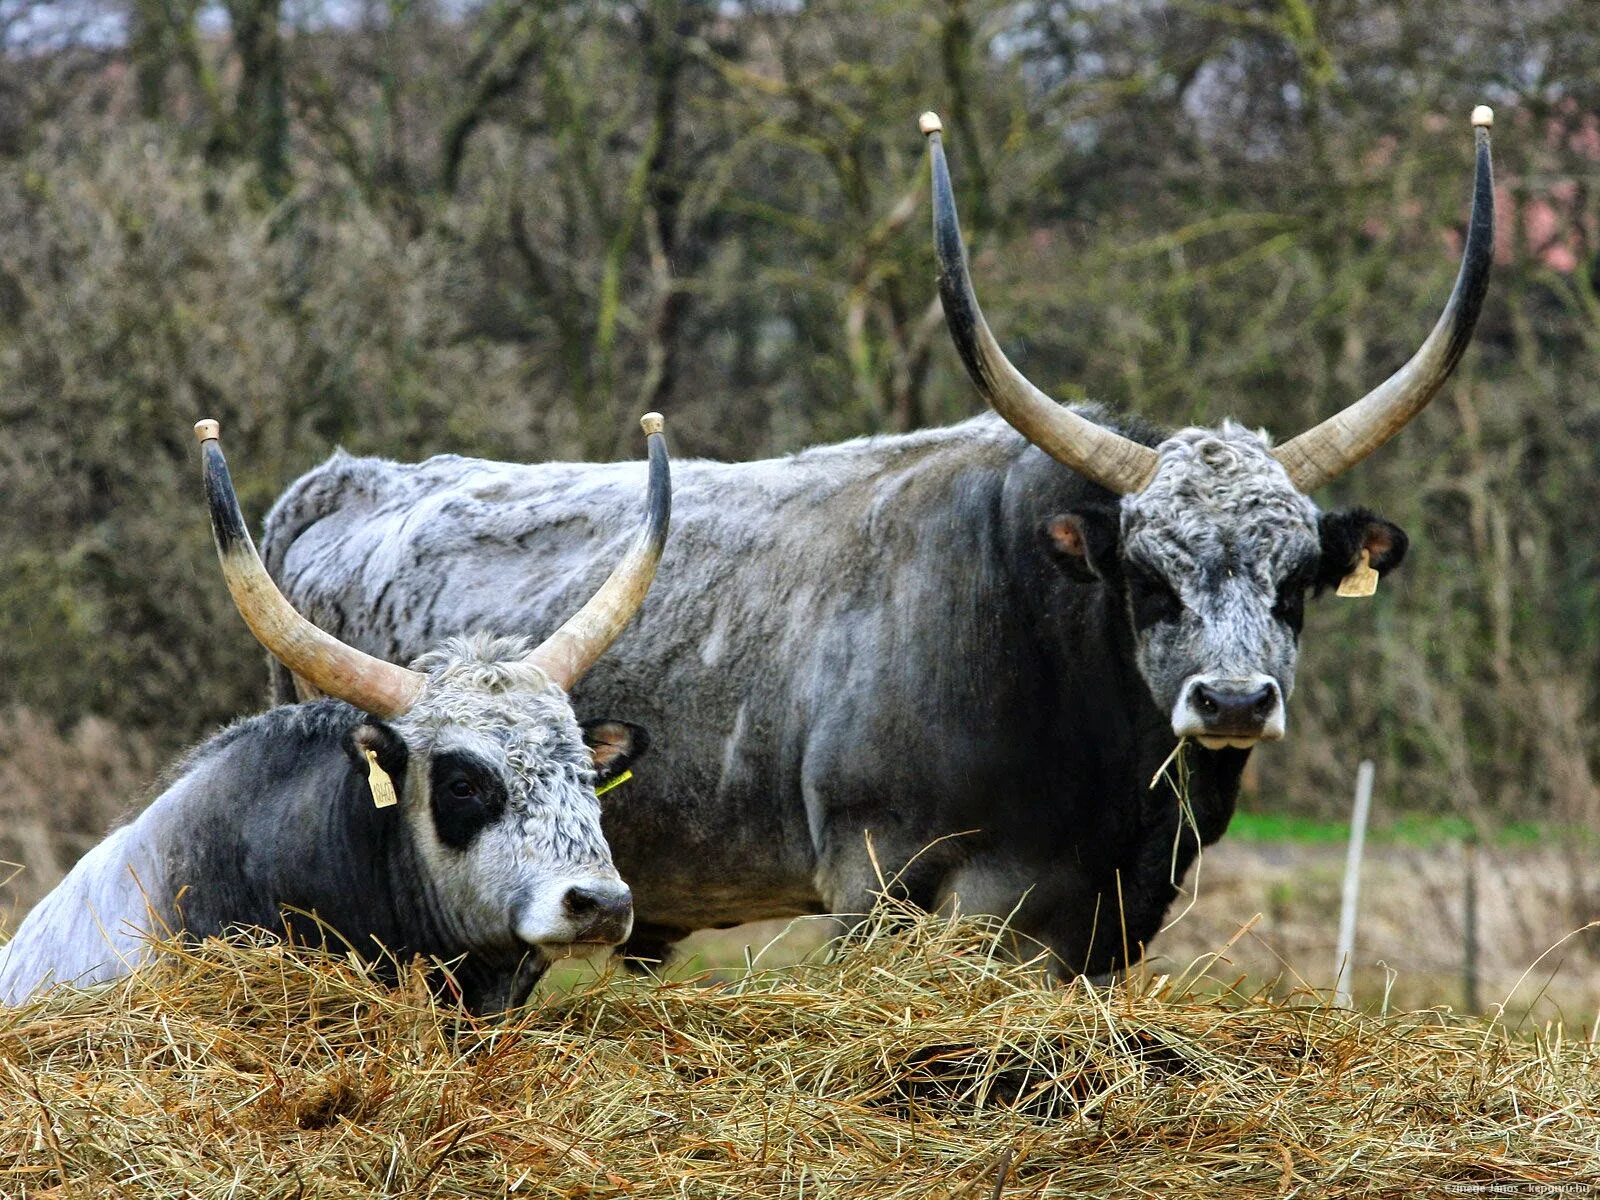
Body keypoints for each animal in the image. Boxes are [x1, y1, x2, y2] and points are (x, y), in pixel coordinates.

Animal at [256, 110, 1491, 979]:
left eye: (1299, 579)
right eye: (1147, 577)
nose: (1233, 701)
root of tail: (341, 482)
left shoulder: (1102, 920)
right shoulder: (882, 884)